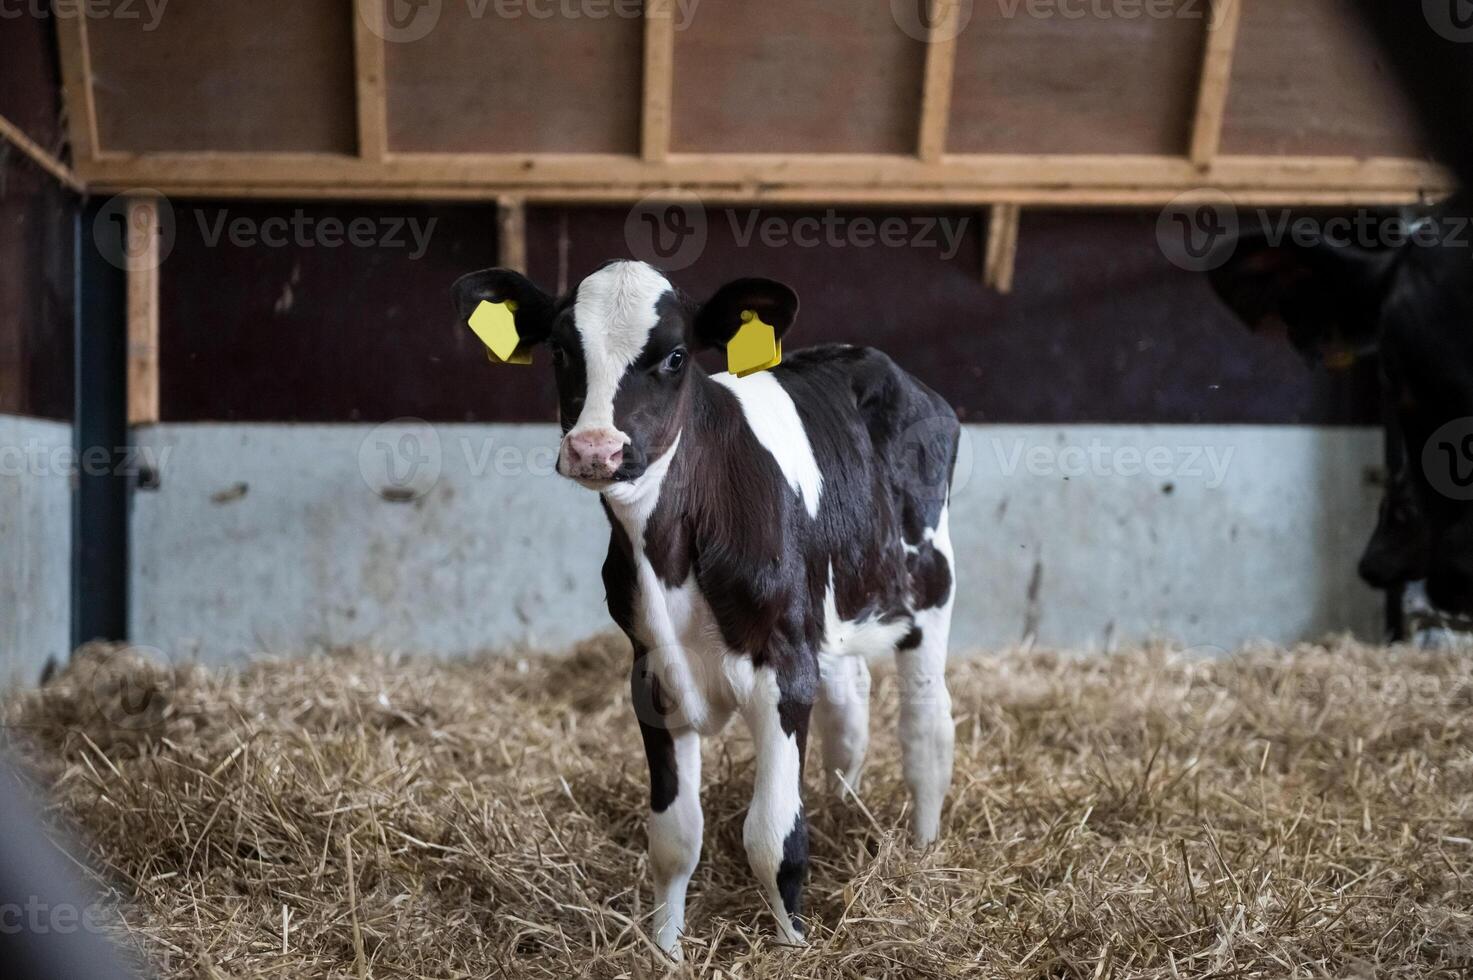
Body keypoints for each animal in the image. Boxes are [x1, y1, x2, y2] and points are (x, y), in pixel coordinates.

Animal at [453, 259, 960, 954]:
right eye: (559, 349)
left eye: (674, 356)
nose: (595, 448)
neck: (668, 552)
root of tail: (881, 363)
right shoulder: (652, 674)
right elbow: (674, 839)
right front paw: (665, 949)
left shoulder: (783, 669)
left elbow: (772, 838)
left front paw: (792, 948)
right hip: (828, 613)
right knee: (849, 712)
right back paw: (842, 809)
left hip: (929, 590)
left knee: (926, 731)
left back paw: (923, 852)